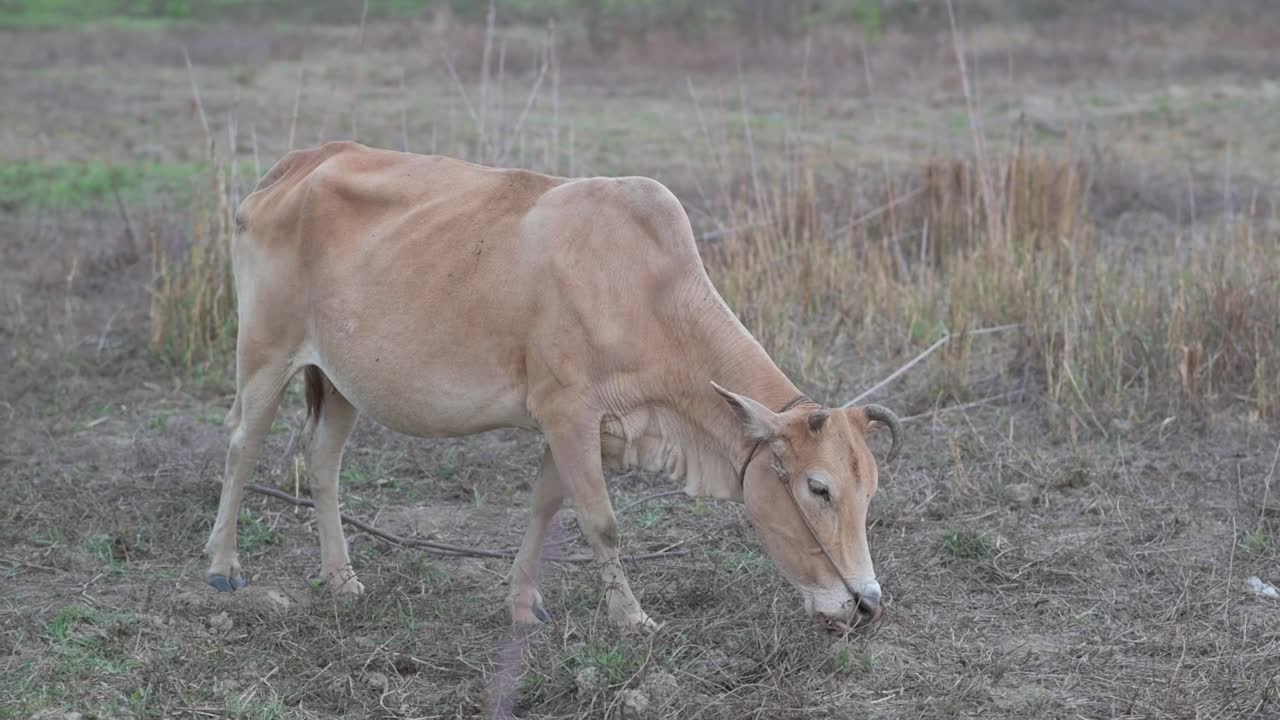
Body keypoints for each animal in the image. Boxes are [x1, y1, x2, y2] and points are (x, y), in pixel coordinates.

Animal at [207, 140, 901, 627]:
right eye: (818, 488)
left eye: (869, 491)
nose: (866, 604)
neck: (648, 294)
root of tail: (298, 164)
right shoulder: (568, 414)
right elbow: (602, 521)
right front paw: (632, 618)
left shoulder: (575, 427)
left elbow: (545, 506)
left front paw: (522, 603)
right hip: (264, 353)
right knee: (241, 442)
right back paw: (222, 568)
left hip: (341, 380)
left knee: (322, 460)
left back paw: (342, 579)